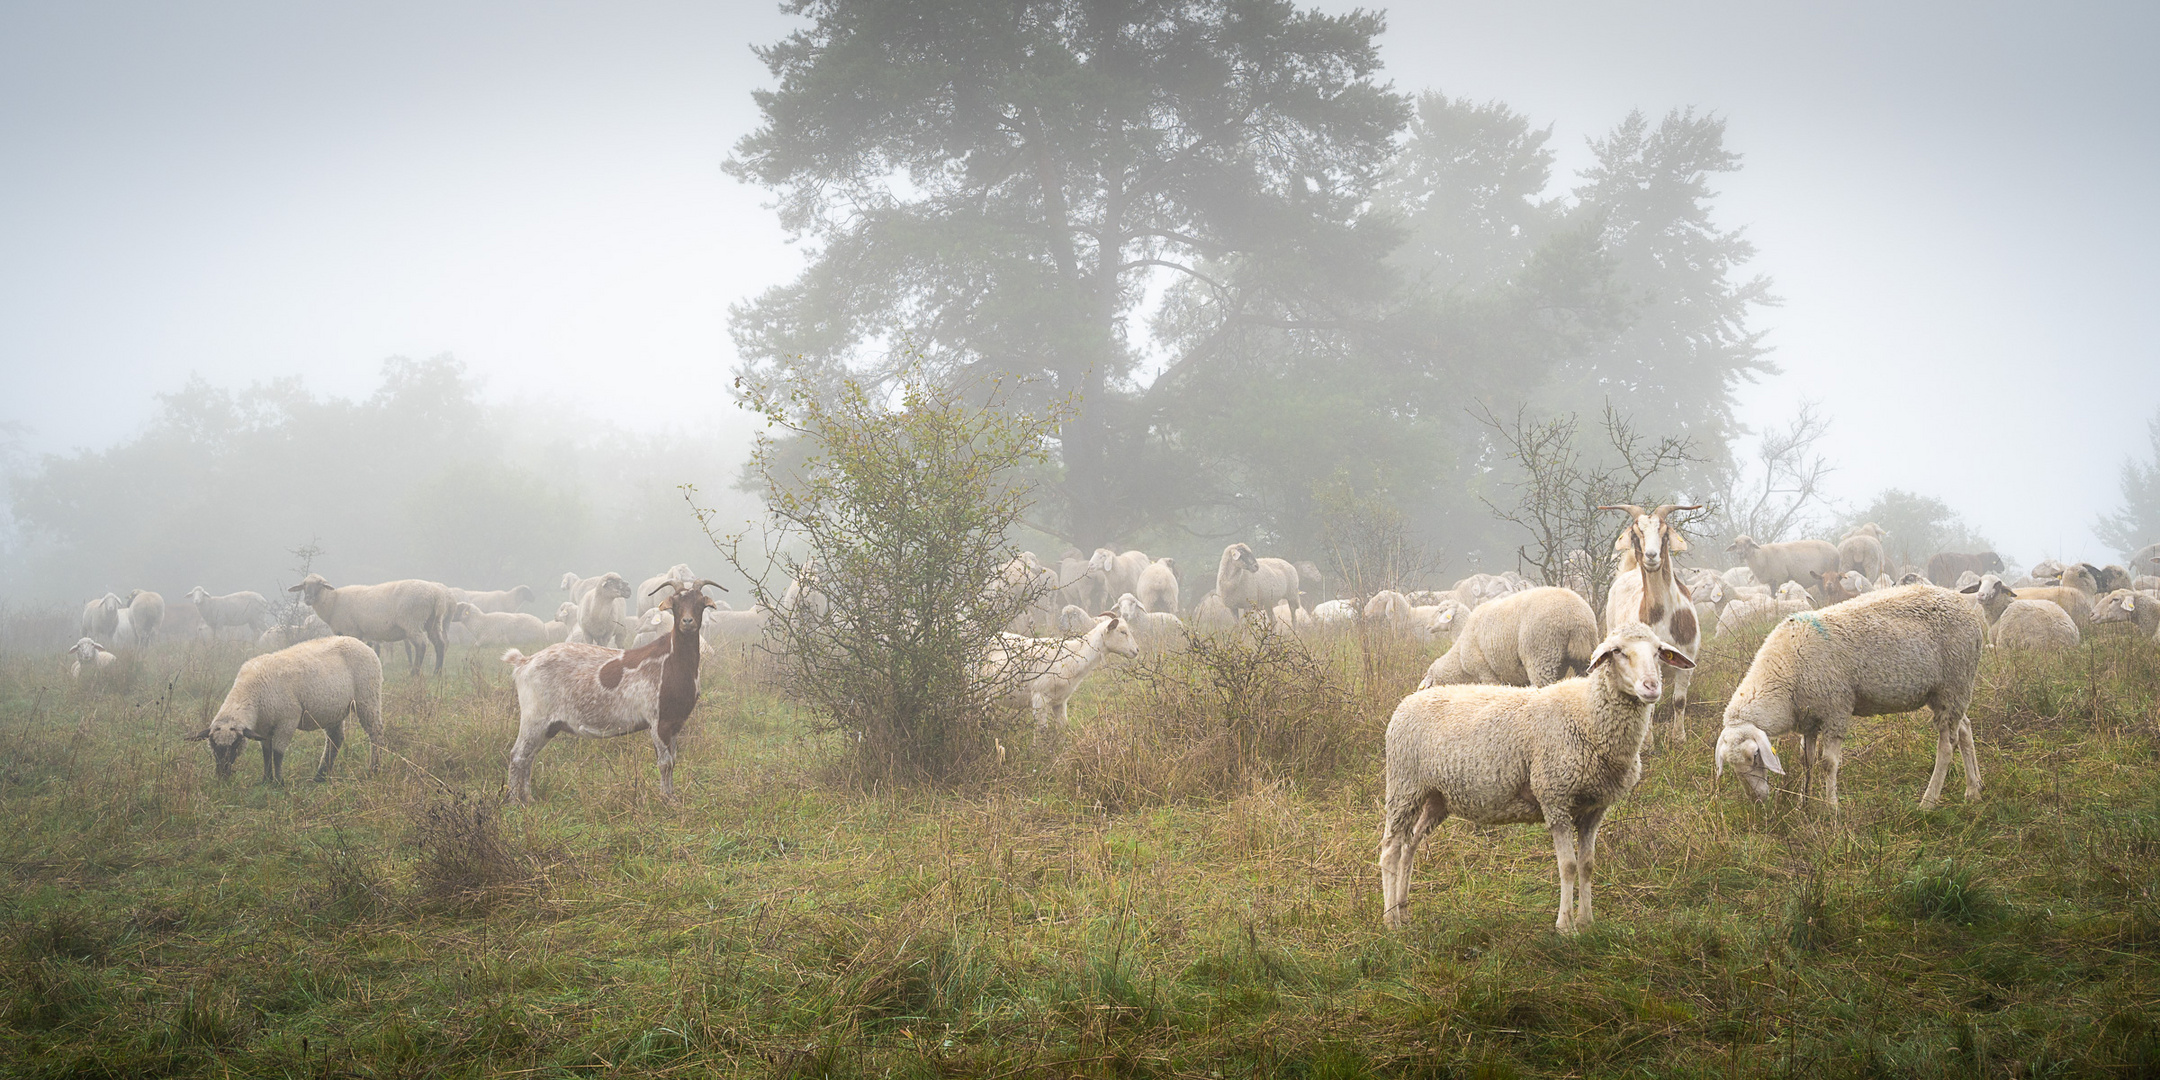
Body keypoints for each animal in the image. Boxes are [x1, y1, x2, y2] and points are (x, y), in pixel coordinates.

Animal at [187, 630, 386, 786]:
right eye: (213, 744)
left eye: (235, 743)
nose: (223, 774)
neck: (252, 693)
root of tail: (361, 643)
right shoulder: (263, 727)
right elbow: (266, 753)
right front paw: (266, 780)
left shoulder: (287, 720)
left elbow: (277, 752)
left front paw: (279, 781)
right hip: (334, 709)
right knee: (335, 740)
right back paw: (320, 776)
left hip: (368, 697)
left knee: (375, 733)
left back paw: (374, 769)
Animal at [498, 583, 725, 803]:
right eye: (675, 604)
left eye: (700, 603)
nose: (687, 622)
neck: (673, 661)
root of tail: (524, 662)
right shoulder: (658, 722)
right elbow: (665, 763)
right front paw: (667, 800)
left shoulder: (676, 723)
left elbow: (673, 761)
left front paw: (672, 796)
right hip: (534, 717)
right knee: (517, 755)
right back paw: (514, 801)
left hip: (549, 726)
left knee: (529, 757)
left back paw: (528, 799)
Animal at [1373, 622, 1693, 933]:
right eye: (1617, 651)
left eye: (1658, 652)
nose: (1651, 687)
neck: (1587, 714)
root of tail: (1408, 700)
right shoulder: (1555, 798)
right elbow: (1568, 866)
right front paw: (1565, 926)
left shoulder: (1594, 809)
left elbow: (1587, 864)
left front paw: (1586, 922)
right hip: (1404, 785)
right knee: (1390, 849)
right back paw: (1390, 920)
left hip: (1436, 798)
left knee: (1410, 845)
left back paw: (1404, 910)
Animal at [1416, 587, 1607, 686]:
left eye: (1440, 611)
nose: (1427, 627)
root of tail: (1576, 616)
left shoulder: (1486, 674)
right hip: (1584, 656)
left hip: (1541, 655)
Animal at [1710, 587, 1978, 807]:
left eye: (1755, 755)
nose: (1757, 800)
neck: (1785, 669)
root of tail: (1965, 602)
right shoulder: (1808, 719)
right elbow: (1806, 761)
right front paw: (1803, 803)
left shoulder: (1835, 710)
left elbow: (1828, 763)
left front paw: (1831, 809)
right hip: (1943, 693)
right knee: (1965, 727)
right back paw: (1974, 790)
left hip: (1954, 683)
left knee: (1946, 747)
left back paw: (1928, 802)